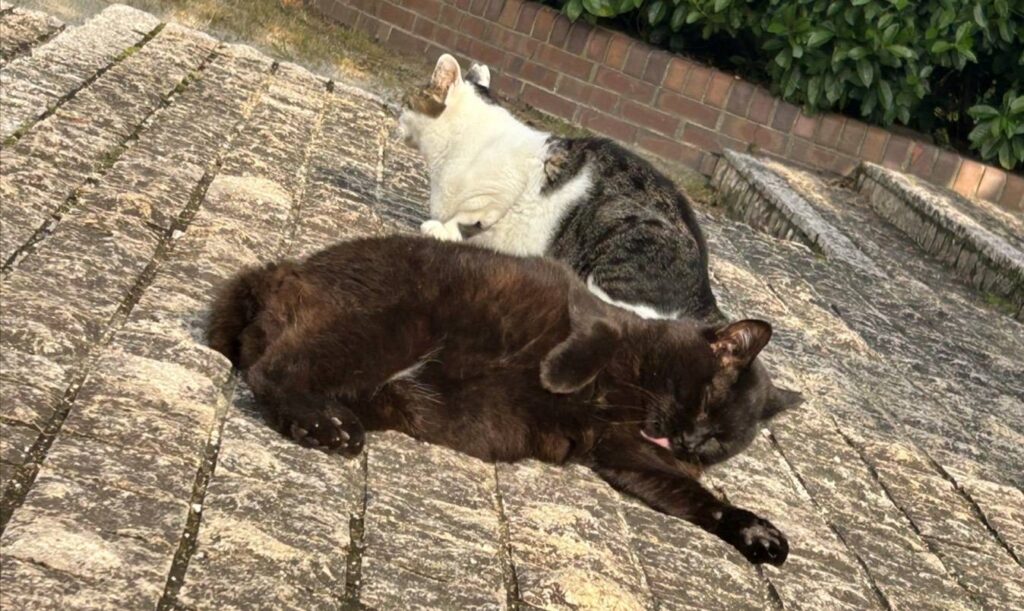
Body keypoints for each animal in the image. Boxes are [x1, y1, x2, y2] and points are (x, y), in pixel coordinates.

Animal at [206, 235, 803, 565]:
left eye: (718, 442)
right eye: (701, 402)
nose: (689, 441)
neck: (633, 396)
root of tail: (283, 269)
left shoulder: (628, 459)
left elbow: (701, 499)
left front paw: (756, 531)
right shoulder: (599, 317)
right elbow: (593, 336)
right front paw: (559, 376)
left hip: (377, 384)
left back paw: (332, 421)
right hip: (394, 326)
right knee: (269, 372)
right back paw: (321, 426)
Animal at [399, 54, 718, 322]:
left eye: (405, 103)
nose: (396, 115)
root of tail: (705, 294)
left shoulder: (499, 195)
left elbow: (467, 218)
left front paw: (441, 229)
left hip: (618, 225)